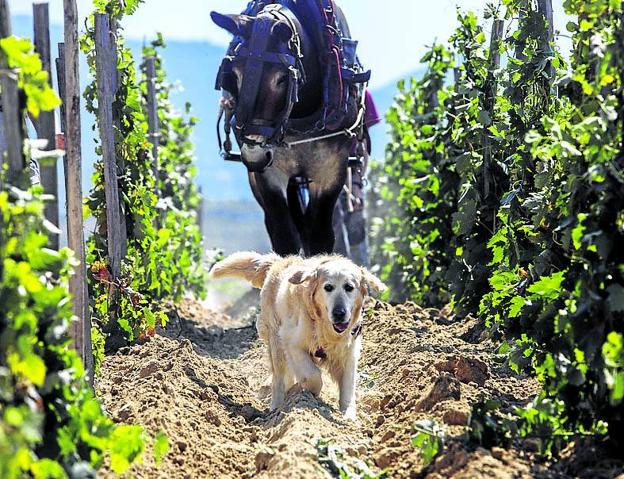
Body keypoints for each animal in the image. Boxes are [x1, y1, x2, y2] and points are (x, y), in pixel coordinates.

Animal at [211, 253, 386, 418]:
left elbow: (348, 387)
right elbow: (313, 376)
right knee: (279, 378)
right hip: (276, 341)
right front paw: (305, 393)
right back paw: (277, 406)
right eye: (328, 287)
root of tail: (278, 262)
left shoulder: (349, 352)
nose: (339, 313)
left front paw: (349, 416)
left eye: (349, 287)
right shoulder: (292, 342)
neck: (323, 325)